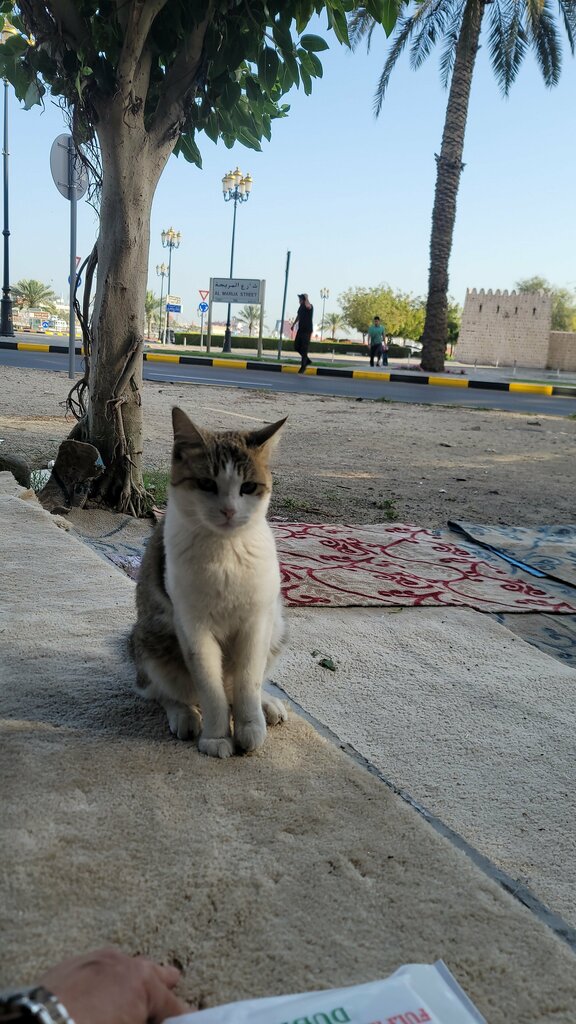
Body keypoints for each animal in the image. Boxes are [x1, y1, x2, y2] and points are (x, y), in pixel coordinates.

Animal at [129, 406, 288, 758]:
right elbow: (210, 687)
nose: (228, 511)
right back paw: (184, 714)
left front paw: (249, 723)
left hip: (278, 625)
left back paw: (266, 704)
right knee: (160, 689)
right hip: (151, 637)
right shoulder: (193, 627)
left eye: (248, 487)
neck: (226, 550)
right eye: (206, 483)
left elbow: (247, 679)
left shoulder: (257, 621)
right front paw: (217, 736)